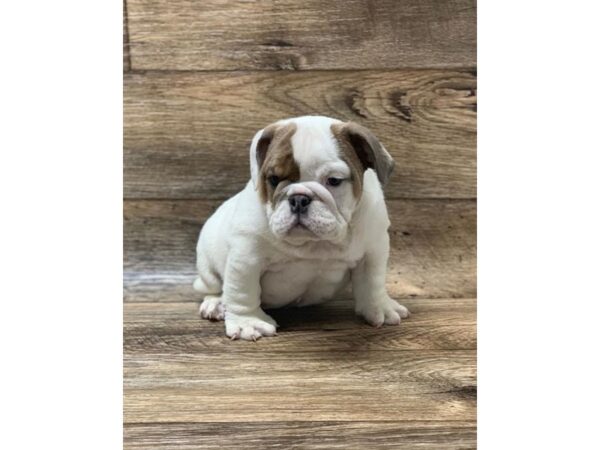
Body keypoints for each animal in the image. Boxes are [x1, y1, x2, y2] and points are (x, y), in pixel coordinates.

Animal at [195, 114, 410, 340]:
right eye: (273, 179)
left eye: (334, 180)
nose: (299, 199)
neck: (314, 243)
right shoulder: (246, 258)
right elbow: (243, 291)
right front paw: (248, 322)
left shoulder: (373, 251)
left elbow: (372, 283)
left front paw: (380, 308)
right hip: (207, 267)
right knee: (214, 287)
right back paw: (216, 304)